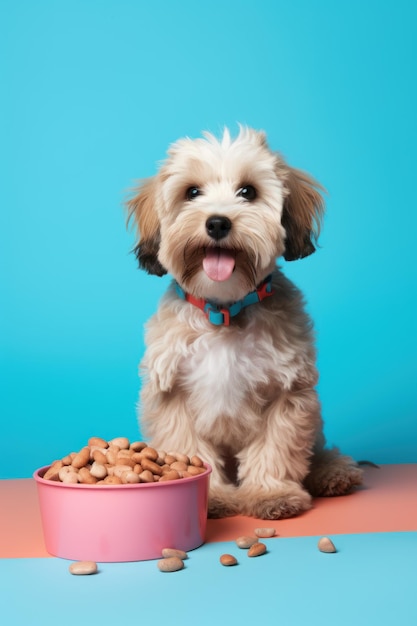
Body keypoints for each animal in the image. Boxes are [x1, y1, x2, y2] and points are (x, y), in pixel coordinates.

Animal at [126, 125, 360, 516]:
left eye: (248, 192)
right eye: (192, 192)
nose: (218, 222)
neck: (224, 311)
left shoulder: (287, 393)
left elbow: (275, 449)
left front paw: (271, 494)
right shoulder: (172, 395)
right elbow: (190, 449)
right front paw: (213, 498)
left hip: (316, 429)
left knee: (318, 451)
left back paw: (333, 472)